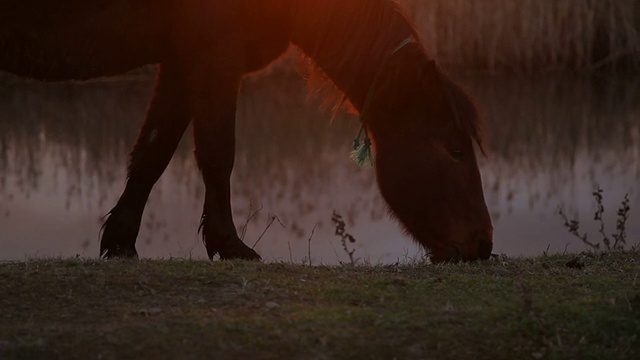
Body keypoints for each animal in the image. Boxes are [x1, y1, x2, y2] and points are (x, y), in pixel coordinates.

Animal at [0, 1, 496, 262]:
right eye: (454, 150)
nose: (483, 244)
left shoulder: (181, 63)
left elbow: (152, 153)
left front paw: (121, 242)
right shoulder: (214, 58)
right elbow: (219, 154)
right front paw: (230, 244)